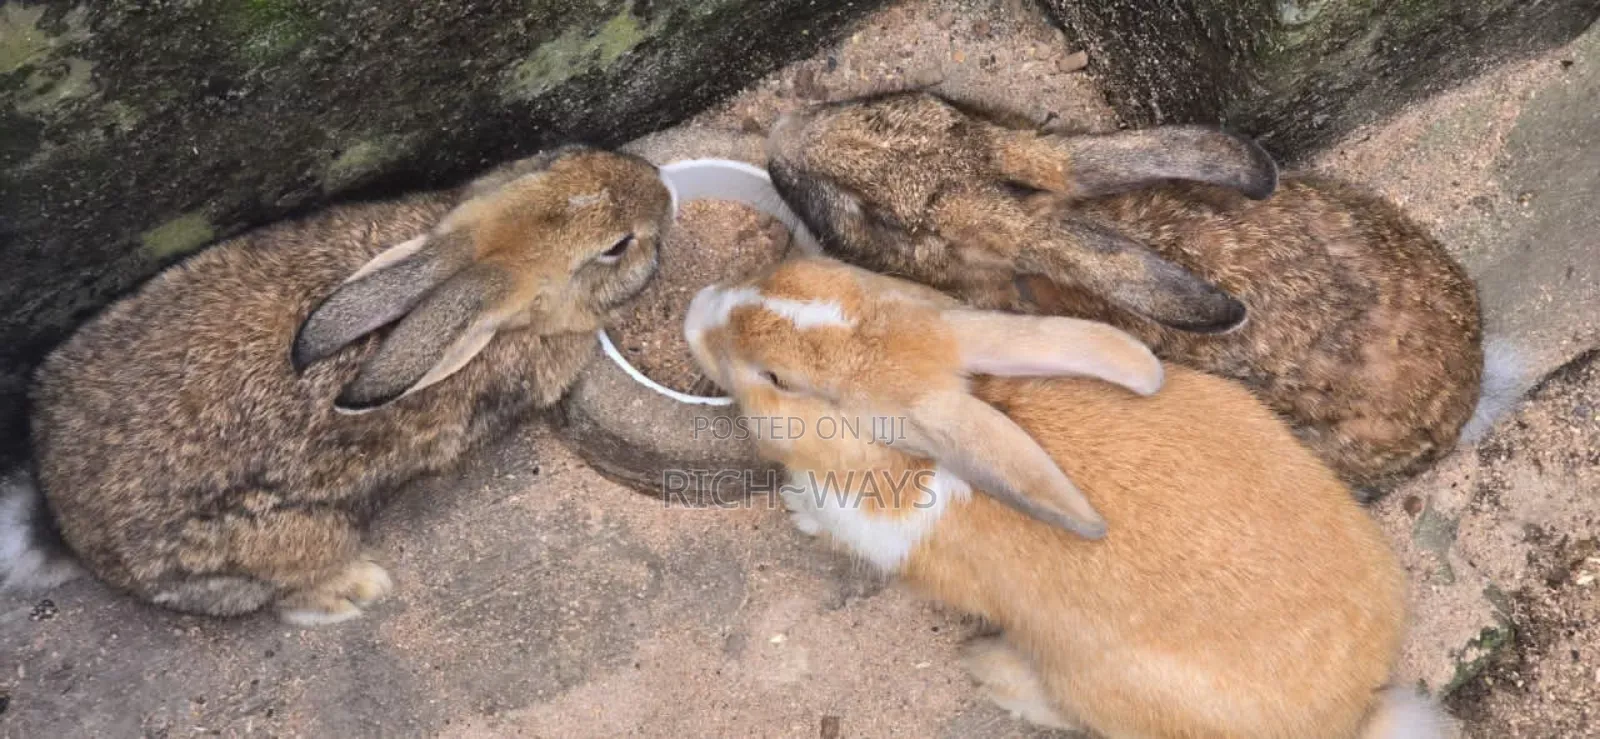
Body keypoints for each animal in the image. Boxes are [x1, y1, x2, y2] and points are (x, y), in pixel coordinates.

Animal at [3, 145, 673, 625]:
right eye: (616, 247)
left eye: (555, 161)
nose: (662, 189)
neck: (471, 266)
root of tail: (68, 526)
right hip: (299, 539)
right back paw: (357, 590)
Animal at [681, 255, 1445, 738]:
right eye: (790, 275)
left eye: (777, 379)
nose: (695, 310)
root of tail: (1357, 708)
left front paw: (800, 511)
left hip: (1098, 683)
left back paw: (994, 673)